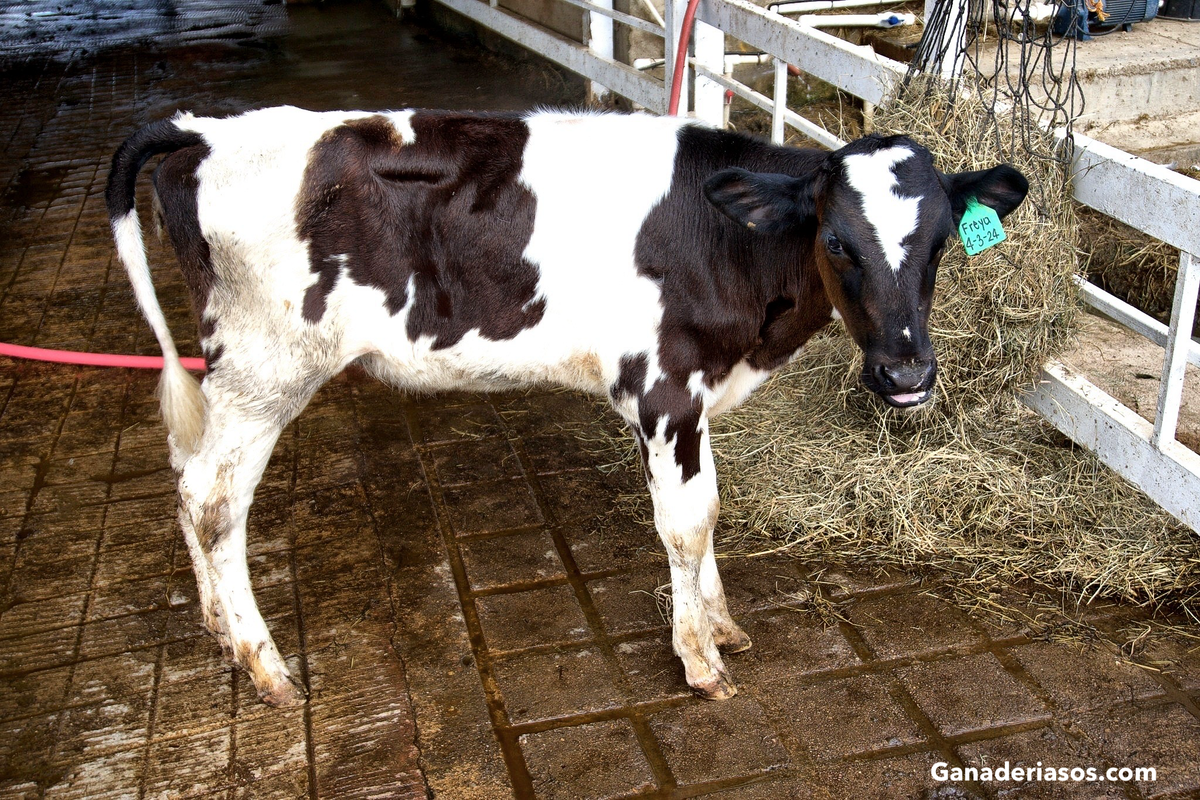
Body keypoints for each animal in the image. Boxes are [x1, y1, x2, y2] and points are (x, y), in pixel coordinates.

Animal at [106, 106, 1028, 706]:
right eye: (837, 241)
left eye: (941, 243)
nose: (907, 373)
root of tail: (207, 129)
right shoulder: (662, 388)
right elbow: (682, 524)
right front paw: (698, 660)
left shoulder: (696, 397)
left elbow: (710, 507)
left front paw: (721, 623)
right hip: (267, 371)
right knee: (214, 502)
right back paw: (263, 665)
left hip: (232, 374)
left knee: (186, 480)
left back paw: (217, 626)